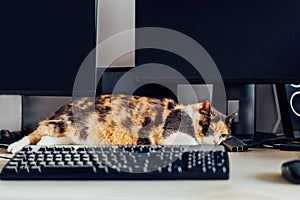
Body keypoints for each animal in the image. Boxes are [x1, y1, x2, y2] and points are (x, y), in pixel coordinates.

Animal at [6, 94, 237, 154]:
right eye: (210, 127)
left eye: (224, 135)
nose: (216, 141)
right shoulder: (169, 134)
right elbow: (191, 142)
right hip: (63, 124)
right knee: (36, 131)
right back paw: (15, 146)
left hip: (73, 136)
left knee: (44, 139)